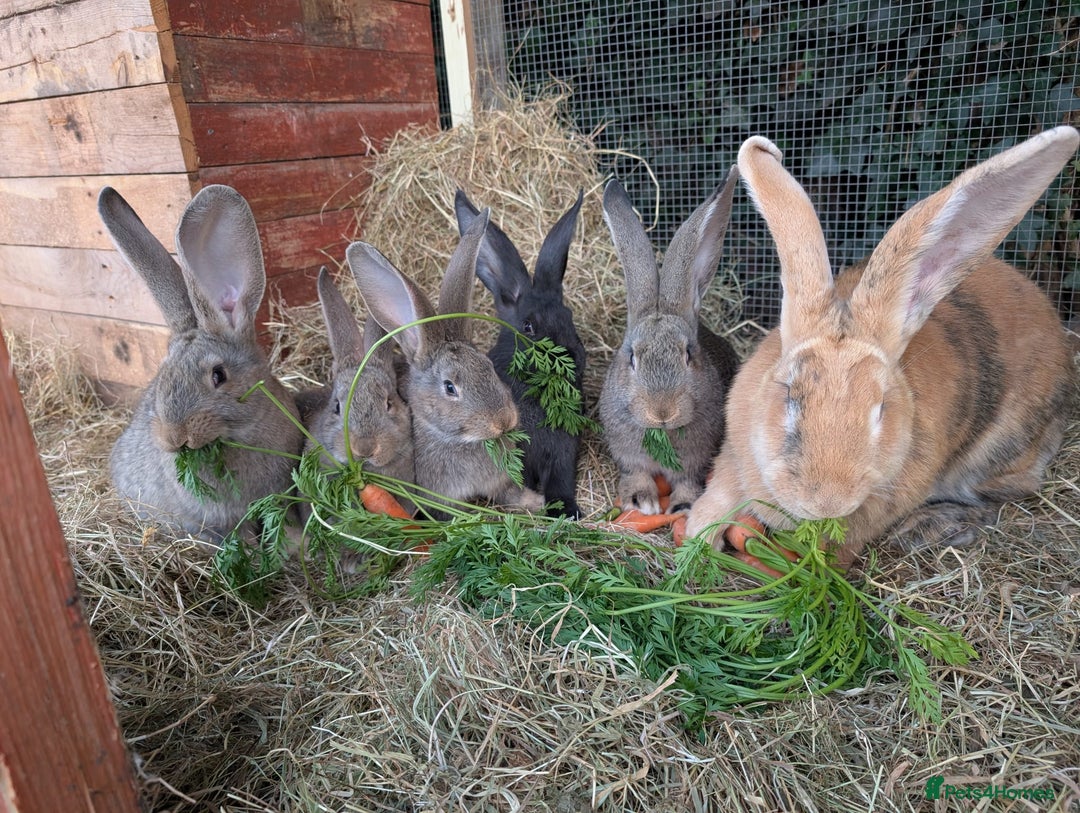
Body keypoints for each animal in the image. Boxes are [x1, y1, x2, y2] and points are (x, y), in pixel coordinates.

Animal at [99, 184, 304, 543]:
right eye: (162, 377)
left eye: (219, 375)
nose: (174, 437)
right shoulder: (219, 523)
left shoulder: (281, 494)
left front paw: (299, 547)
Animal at [345, 207, 545, 516]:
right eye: (450, 387)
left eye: (488, 367)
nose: (503, 421)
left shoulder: (501, 482)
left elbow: (511, 494)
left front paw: (537, 503)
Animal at [453, 188, 587, 518]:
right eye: (528, 326)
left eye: (568, 316)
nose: (574, 359)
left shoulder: (563, 452)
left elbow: (561, 481)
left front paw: (567, 511)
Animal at [598, 172, 742, 516]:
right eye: (632, 357)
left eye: (689, 354)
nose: (662, 411)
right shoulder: (627, 454)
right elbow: (635, 472)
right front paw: (641, 500)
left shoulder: (696, 461)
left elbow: (688, 480)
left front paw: (682, 506)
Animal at [686, 127, 1080, 569]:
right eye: (790, 396)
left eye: (880, 409)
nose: (827, 501)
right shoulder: (733, 455)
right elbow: (719, 496)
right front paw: (696, 539)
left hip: (1000, 453)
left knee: (1008, 495)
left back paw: (932, 525)